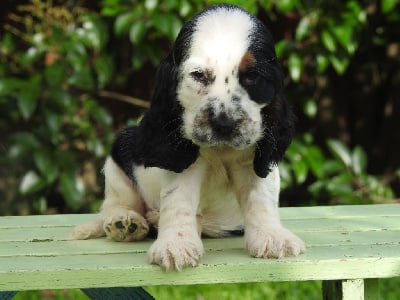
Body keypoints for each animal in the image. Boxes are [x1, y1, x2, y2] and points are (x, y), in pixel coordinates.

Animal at [70, 4, 304, 272]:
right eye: (199, 75)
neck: (221, 150)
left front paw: (272, 237)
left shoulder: (254, 156)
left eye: (252, 75)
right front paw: (175, 245)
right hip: (119, 156)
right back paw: (126, 222)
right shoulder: (181, 159)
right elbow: (178, 201)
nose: (224, 123)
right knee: (115, 203)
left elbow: (260, 196)